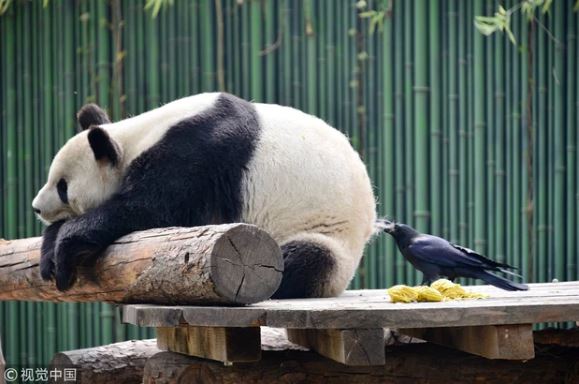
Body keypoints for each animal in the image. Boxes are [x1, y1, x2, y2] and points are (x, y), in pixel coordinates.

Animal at [31, 92, 378, 296]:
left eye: (63, 187)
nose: (36, 207)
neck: (133, 138)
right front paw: (50, 251)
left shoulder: (196, 154)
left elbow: (151, 211)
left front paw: (66, 246)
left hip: (327, 236)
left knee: (301, 259)